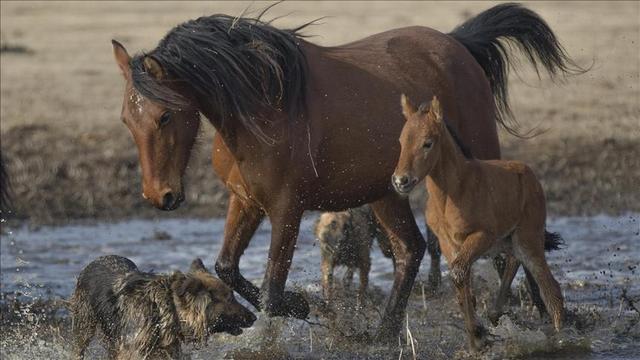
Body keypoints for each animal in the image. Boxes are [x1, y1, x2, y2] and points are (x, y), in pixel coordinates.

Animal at [70, 255, 258, 358]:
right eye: (230, 299)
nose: (255, 317)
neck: (163, 310)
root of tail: (96, 260)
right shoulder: (131, 351)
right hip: (84, 328)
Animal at [392, 96, 564, 352]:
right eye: (402, 141)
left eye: (427, 143)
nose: (400, 181)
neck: (453, 191)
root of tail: (530, 175)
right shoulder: (448, 243)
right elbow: (462, 284)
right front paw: (477, 339)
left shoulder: (483, 236)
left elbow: (459, 273)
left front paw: (479, 334)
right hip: (508, 240)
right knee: (514, 261)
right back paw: (496, 312)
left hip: (528, 238)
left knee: (551, 288)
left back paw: (562, 337)